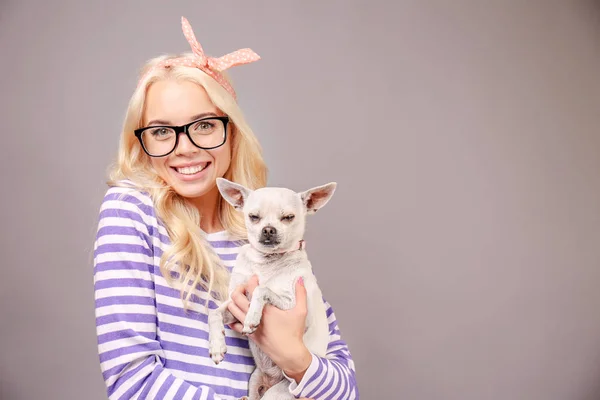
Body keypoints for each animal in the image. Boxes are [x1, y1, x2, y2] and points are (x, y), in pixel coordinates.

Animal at [209, 179, 336, 400]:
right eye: (253, 217)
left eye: (288, 217)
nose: (268, 229)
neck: (266, 262)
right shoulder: (234, 305)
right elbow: (213, 313)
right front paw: (217, 346)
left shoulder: (292, 304)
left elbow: (262, 289)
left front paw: (252, 318)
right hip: (255, 378)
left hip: (279, 392)